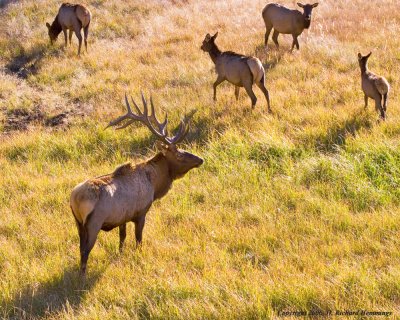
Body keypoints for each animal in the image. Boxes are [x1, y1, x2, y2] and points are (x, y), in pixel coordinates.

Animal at [69, 92, 205, 276]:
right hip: (93, 223)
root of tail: (75, 199)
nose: (200, 159)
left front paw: (120, 255)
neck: (155, 184)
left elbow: (122, 238)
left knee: (80, 248)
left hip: (77, 222)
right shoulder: (141, 212)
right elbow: (138, 239)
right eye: (179, 154)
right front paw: (139, 256)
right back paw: (82, 276)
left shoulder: (122, 216)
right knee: (85, 251)